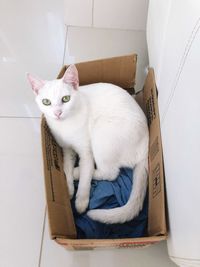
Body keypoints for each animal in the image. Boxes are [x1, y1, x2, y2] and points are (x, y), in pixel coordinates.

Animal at [27, 65, 149, 224]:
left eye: (66, 99)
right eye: (46, 102)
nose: (57, 113)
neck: (65, 125)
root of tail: (145, 149)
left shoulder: (86, 152)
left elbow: (86, 176)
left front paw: (80, 202)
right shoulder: (66, 149)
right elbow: (66, 166)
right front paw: (68, 188)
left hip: (101, 133)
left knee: (110, 173)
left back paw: (77, 172)